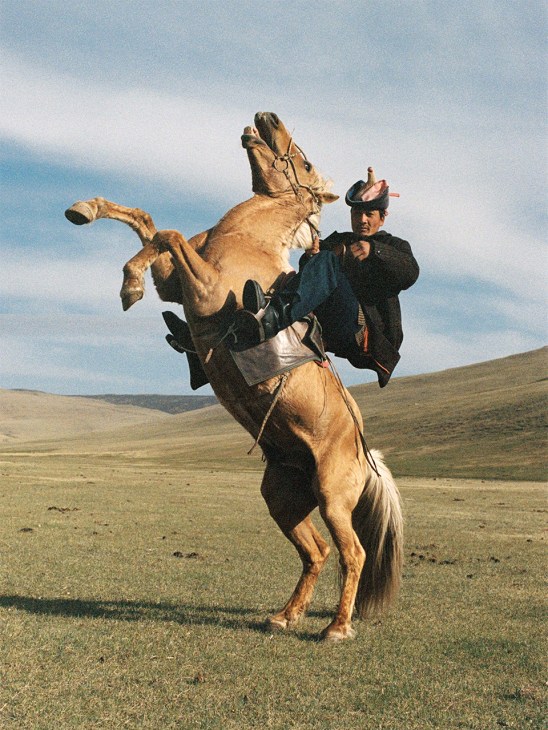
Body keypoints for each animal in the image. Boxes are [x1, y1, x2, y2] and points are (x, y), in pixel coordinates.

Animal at [65, 112, 403, 641]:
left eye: (305, 161)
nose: (266, 117)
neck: (245, 240)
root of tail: (364, 450)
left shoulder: (203, 289)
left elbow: (168, 234)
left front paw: (129, 285)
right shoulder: (176, 283)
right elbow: (149, 224)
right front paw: (90, 218)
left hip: (333, 497)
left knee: (353, 552)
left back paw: (336, 627)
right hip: (283, 497)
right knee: (317, 552)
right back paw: (284, 616)